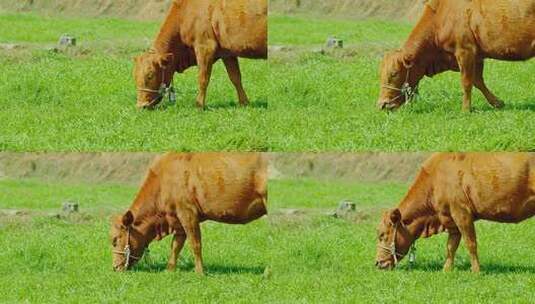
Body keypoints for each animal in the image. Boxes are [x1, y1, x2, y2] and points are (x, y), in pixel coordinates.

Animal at [109, 152, 268, 274]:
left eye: (115, 240)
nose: (115, 267)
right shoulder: (177, 220)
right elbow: (176, 246)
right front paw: (169, 270)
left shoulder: (187, 213)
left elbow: (195, 244)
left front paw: (200, 272)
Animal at [134, 0, 268, 109]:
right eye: (134, 77)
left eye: (150, 75)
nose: (141, 105)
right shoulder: (227, 52)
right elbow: (235, 77)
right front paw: (244, 103)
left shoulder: (204, 47)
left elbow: (203, 78)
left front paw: (199, 105)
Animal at [376, 0, 535, 111]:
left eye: (394, 73)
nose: (382, 105)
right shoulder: (477, 56)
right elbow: (478, 81)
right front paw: (497, 102)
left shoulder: (465, 51)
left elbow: (466, 82)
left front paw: (465, 109)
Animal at [376, 153, 535, 272]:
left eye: (382, 235)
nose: (377, 263)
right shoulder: (450, 218)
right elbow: (451, 246)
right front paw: (446, 270)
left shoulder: (462, 213)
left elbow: (471, 243)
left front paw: (476, 271)